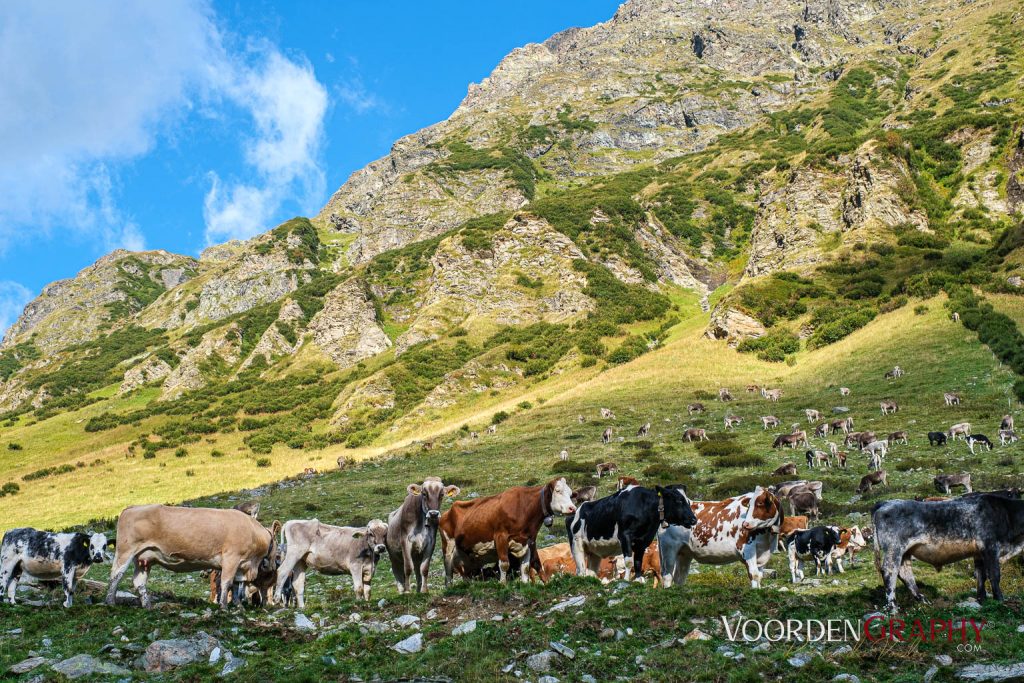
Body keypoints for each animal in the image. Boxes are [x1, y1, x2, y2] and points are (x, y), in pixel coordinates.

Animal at [106, 505, 280, 610]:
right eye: (277, 546)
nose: (273, 566)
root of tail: (132, 508)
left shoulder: (241, 565)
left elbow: (237, 586)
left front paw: (239, 606)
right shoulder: (231, 558)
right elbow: (227, 583)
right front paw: (224, 606)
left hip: (144, 559)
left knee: (139, 582)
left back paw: (147, 605)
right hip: (125, 551)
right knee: (116, 575)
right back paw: (110, 602)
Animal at [565, 485, 700, 581]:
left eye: (688, 501)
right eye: (678, 501)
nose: (694, 519)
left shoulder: (644, 540)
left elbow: (638, 561)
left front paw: (638, 579)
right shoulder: (625, 536)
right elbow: (629, 561)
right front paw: (626, 580)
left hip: (594, 551)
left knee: (591, 570)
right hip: (576, 544)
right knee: (580, 568)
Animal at [868, 493, 1024, 610]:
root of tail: (885, 503)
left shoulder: (979, 553)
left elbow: (981, 576)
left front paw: (982, 599)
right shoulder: (991, 547)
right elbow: (994, 575)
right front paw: (1000, 600)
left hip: (905, 551)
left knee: (905, 573)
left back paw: (923, 600)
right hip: (894, 548)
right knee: (890, 571)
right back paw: (893, 607)